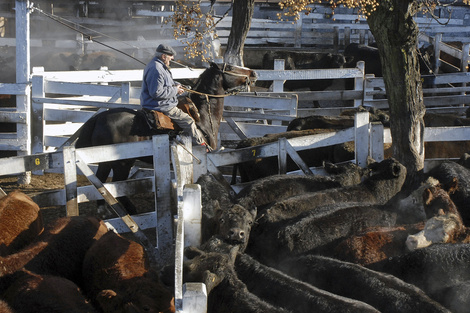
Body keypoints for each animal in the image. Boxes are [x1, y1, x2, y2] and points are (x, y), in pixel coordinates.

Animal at [76, 62, 258, 213]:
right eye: (231, 67)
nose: (253, 73)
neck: (201, 115)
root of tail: (98, 118)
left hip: (107, 161)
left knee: (102, 181)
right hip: (121, 163)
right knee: (116, 186)